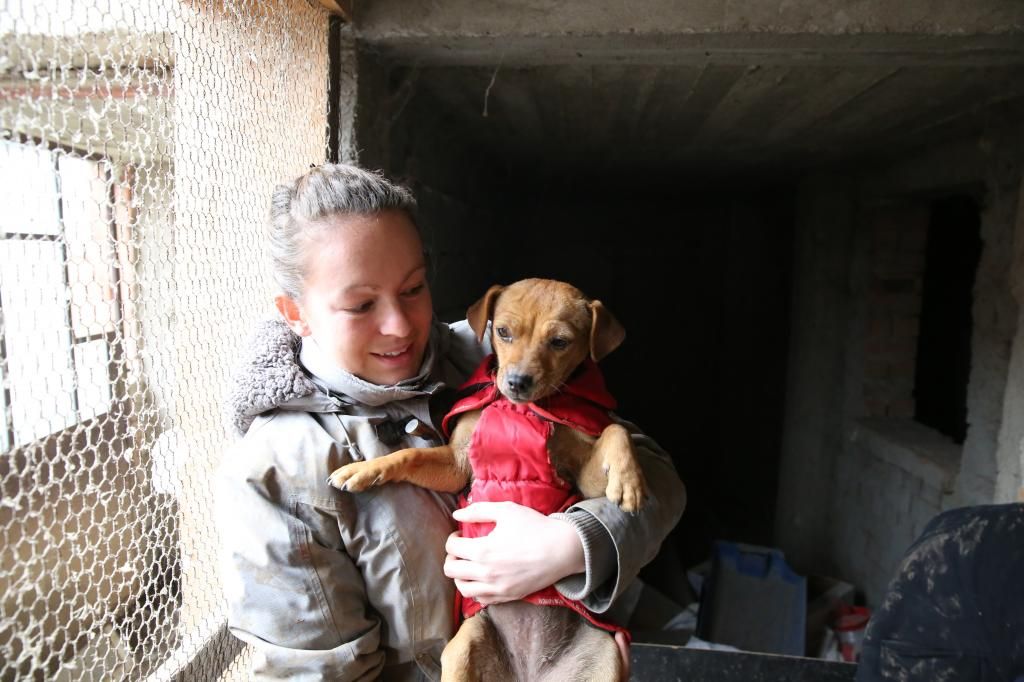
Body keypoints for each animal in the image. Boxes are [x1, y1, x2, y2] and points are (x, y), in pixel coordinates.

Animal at [327, 278, 647, 679]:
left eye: (560, 341)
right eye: (503, 332)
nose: (517, 382)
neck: (519, 410)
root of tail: (528, 674)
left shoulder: (586, 476)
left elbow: (614, 430)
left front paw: (629, 480)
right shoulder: (457, 464)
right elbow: (408, 454)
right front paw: (362, 469)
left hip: (604, 654)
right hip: (462, 647)